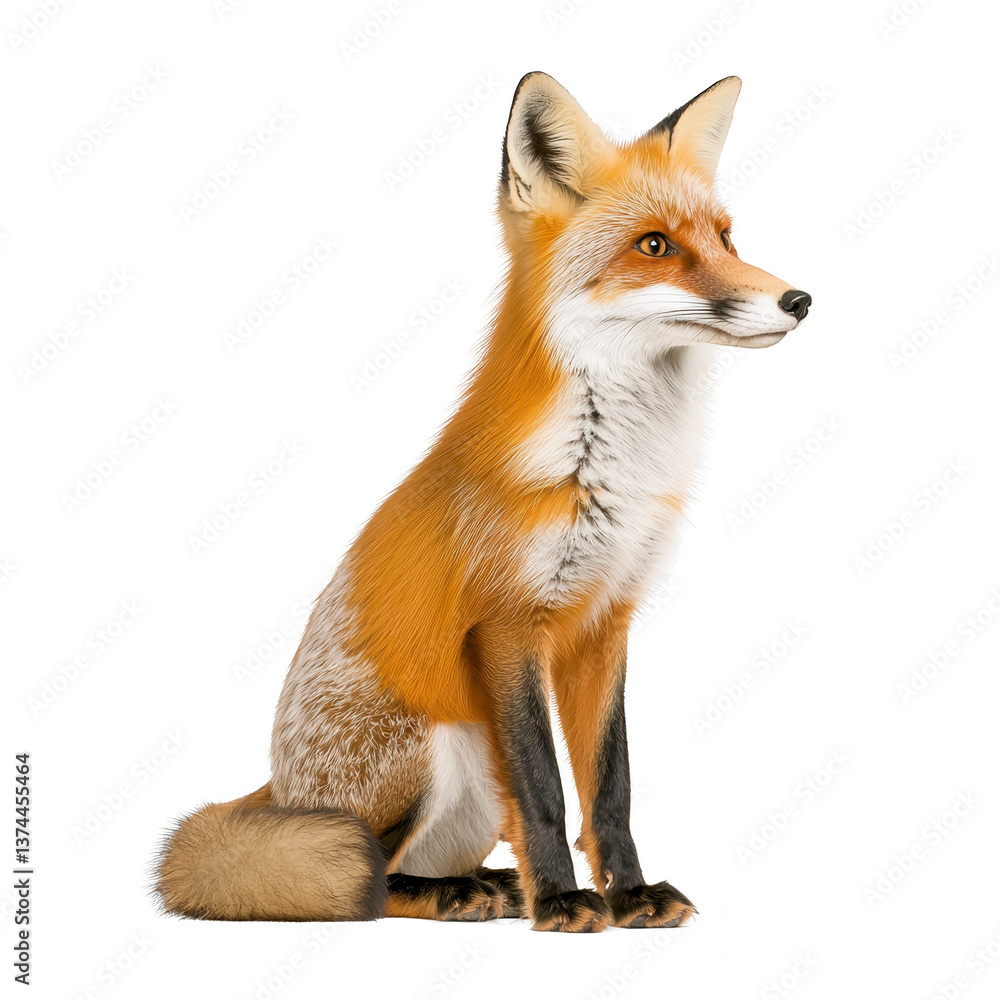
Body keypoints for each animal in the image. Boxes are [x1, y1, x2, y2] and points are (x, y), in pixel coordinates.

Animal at [154, 72, 811, 932]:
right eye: (655, 246)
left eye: (728, 239)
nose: (799, 300)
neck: (606, 467)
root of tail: (279, 786)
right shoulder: (505, 624)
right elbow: (544, 787)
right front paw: (564, 900)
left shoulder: (606, 621)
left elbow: (610, 787)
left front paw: (629, 894)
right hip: (435, 749)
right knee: (365, 884)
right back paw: (464, 893)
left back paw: (495, 883)